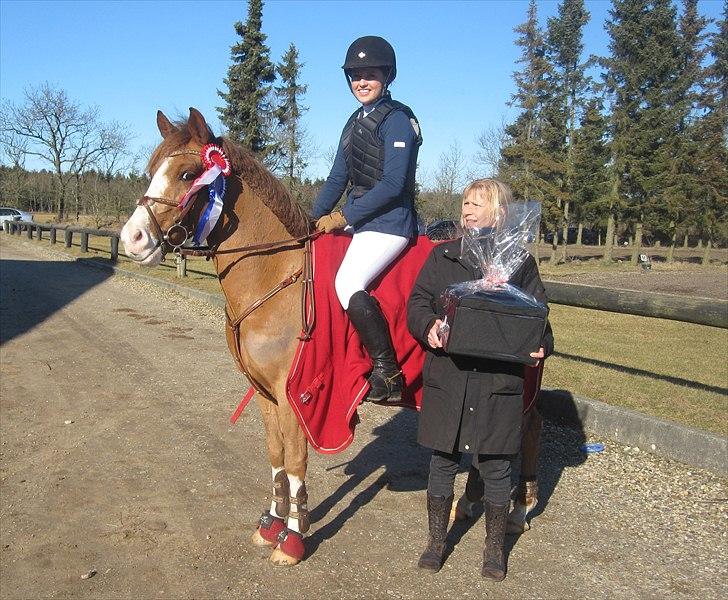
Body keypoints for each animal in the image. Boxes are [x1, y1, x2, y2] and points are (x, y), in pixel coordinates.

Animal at [118, 109, 540, 568]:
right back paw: (470, 502)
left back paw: (517, 510)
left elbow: (296, 460)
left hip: (518, 379)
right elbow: (276, 455)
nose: (132, 239)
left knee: (525, 432)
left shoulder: (296, 395)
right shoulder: (264, 394)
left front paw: (293, 538)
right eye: (151, 171)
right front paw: (271, 524)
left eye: (189, 173)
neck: (276, 272)